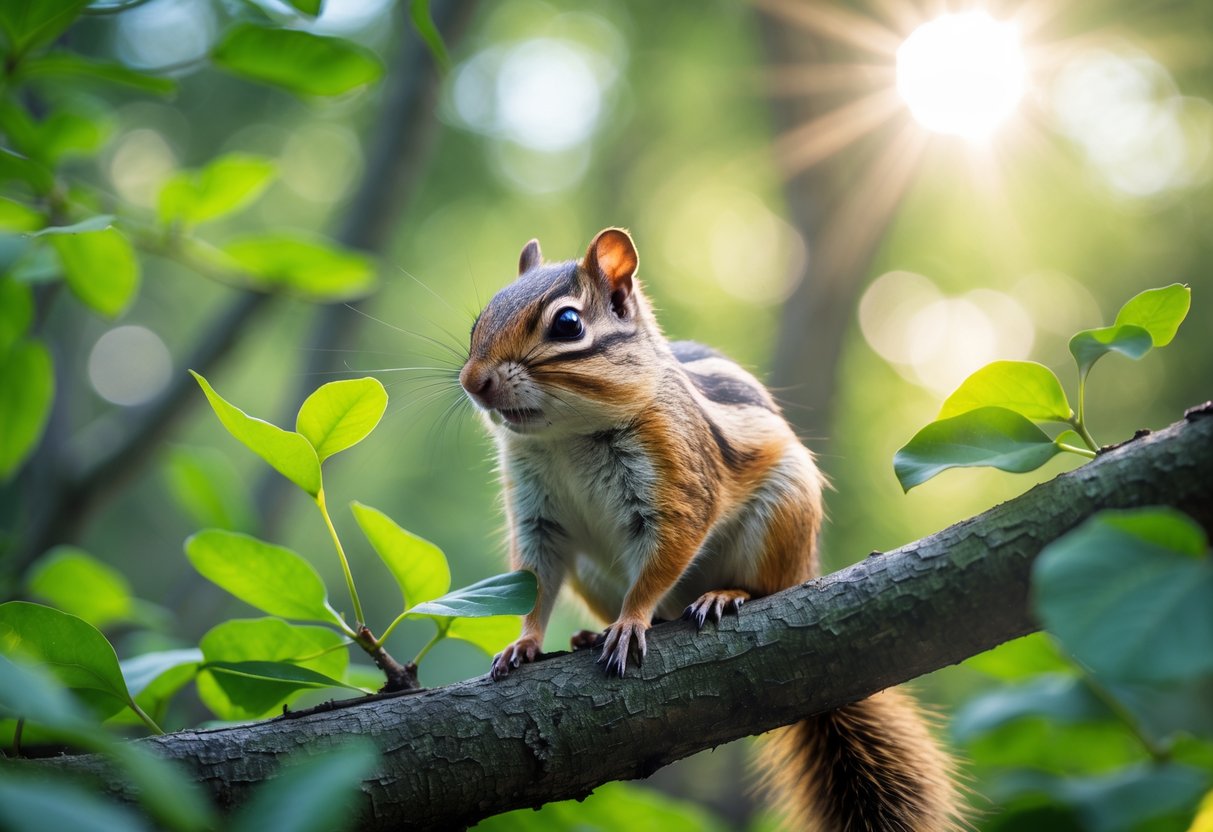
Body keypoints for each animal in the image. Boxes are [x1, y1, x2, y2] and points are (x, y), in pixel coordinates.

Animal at [459, 228, 962, 830]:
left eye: (568, 324)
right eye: (479, 320)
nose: (472, 381)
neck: (566, 437)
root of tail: (807, 567)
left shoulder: (677, 484)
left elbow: (662, 560)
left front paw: (631, 622)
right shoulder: (537, 518)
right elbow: (533, 581)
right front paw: (526, 642)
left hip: (781, 522)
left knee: (767, 586)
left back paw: (723, 595)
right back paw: (591, 633)